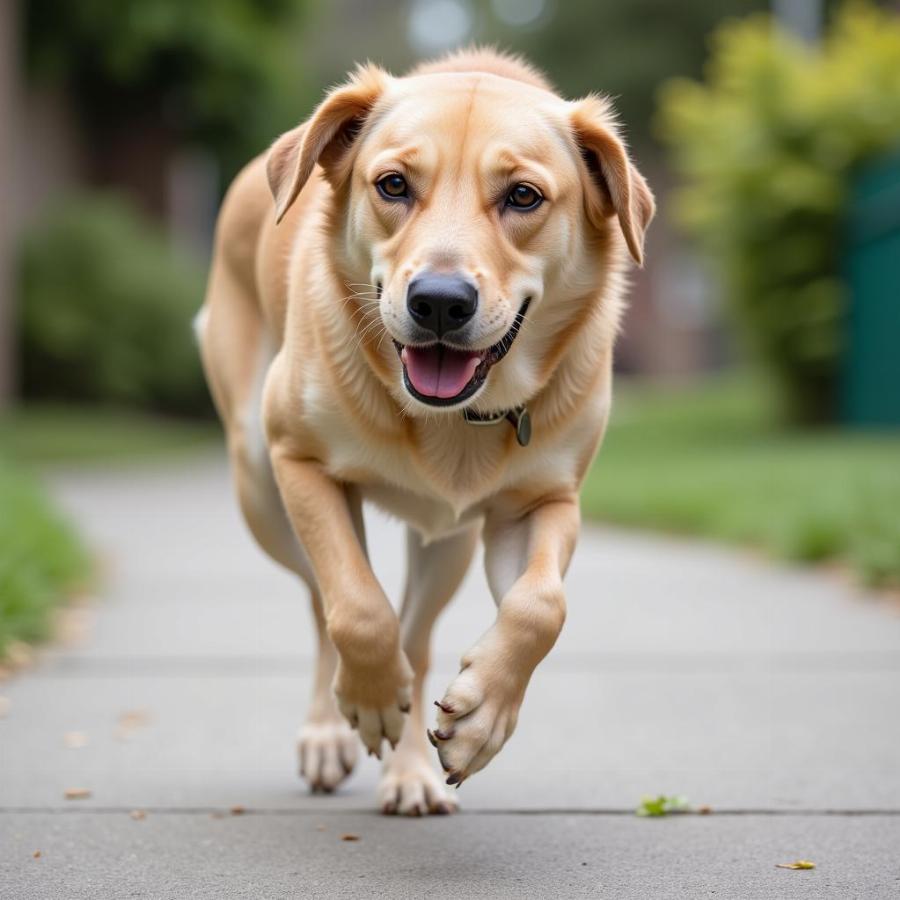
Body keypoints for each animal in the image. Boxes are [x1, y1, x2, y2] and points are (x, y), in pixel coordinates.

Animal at [199, 45, 652, 812]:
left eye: (523, 197)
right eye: (393, 184)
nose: (439, 301)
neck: (452, 418)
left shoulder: (541, 504)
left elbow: (540, 606)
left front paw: (480, 719)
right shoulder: (300, 465)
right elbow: (355, 606)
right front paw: (370, 699)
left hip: (449, 544)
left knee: (416, 631)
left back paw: (410, 764)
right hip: (260, 485)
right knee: (324, 601)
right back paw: (335, 726)